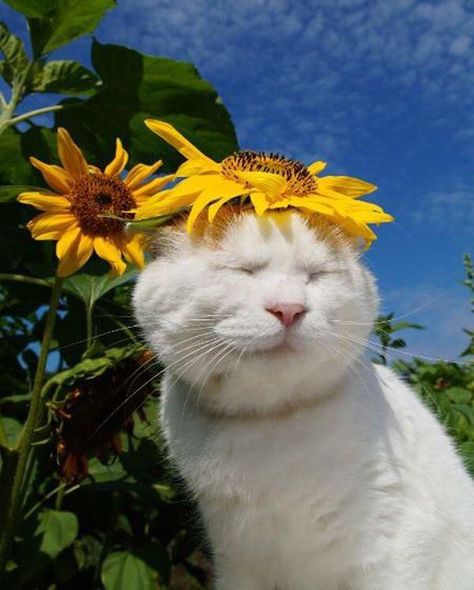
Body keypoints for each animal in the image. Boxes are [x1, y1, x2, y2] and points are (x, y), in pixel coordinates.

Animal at [132, 213, 474, 590]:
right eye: (243, 270)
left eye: (316, 275)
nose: (289, 309)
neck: (269, 425)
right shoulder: (236, 564)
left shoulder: (397, 548)